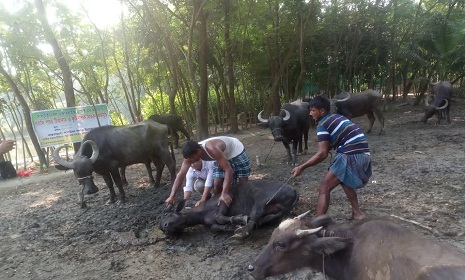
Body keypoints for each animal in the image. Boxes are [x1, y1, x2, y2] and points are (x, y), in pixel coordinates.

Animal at [160, 179, 298, 238]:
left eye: (166, 214)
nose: (164, 228)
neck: (202, 213)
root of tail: (293, 189)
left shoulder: (226, 198)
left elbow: (219, 216)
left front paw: (239, 219)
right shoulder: (210, 224)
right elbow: (215, 227)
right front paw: (232, 226)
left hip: (260, 199)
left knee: (254, 215)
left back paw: (242, 232)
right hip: (277, 210)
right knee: (265, 218)